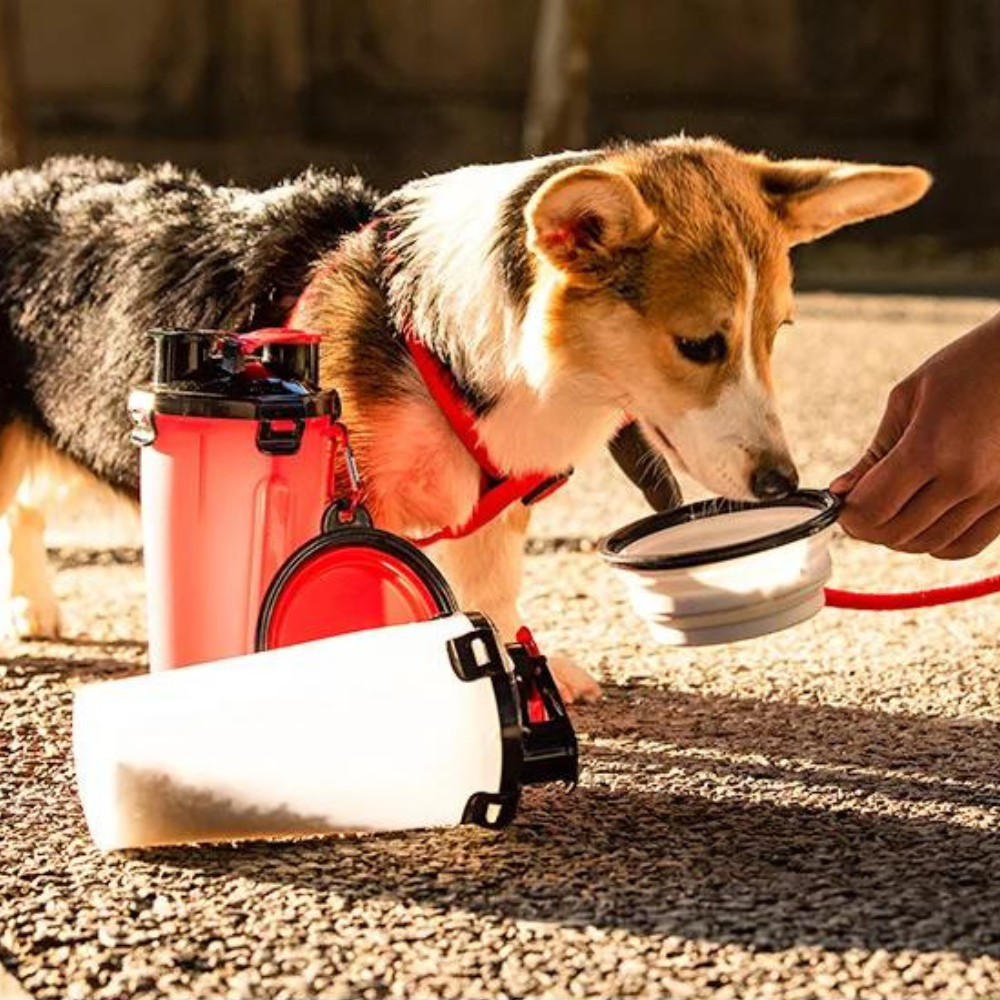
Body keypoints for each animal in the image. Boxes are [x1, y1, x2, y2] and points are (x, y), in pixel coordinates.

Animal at [0, 143, 928, 704]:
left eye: (778, 334)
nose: (781, 484)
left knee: (27, 509)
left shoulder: (495, 511)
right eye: (699, 344)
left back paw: (35, 606)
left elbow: (490, 592)